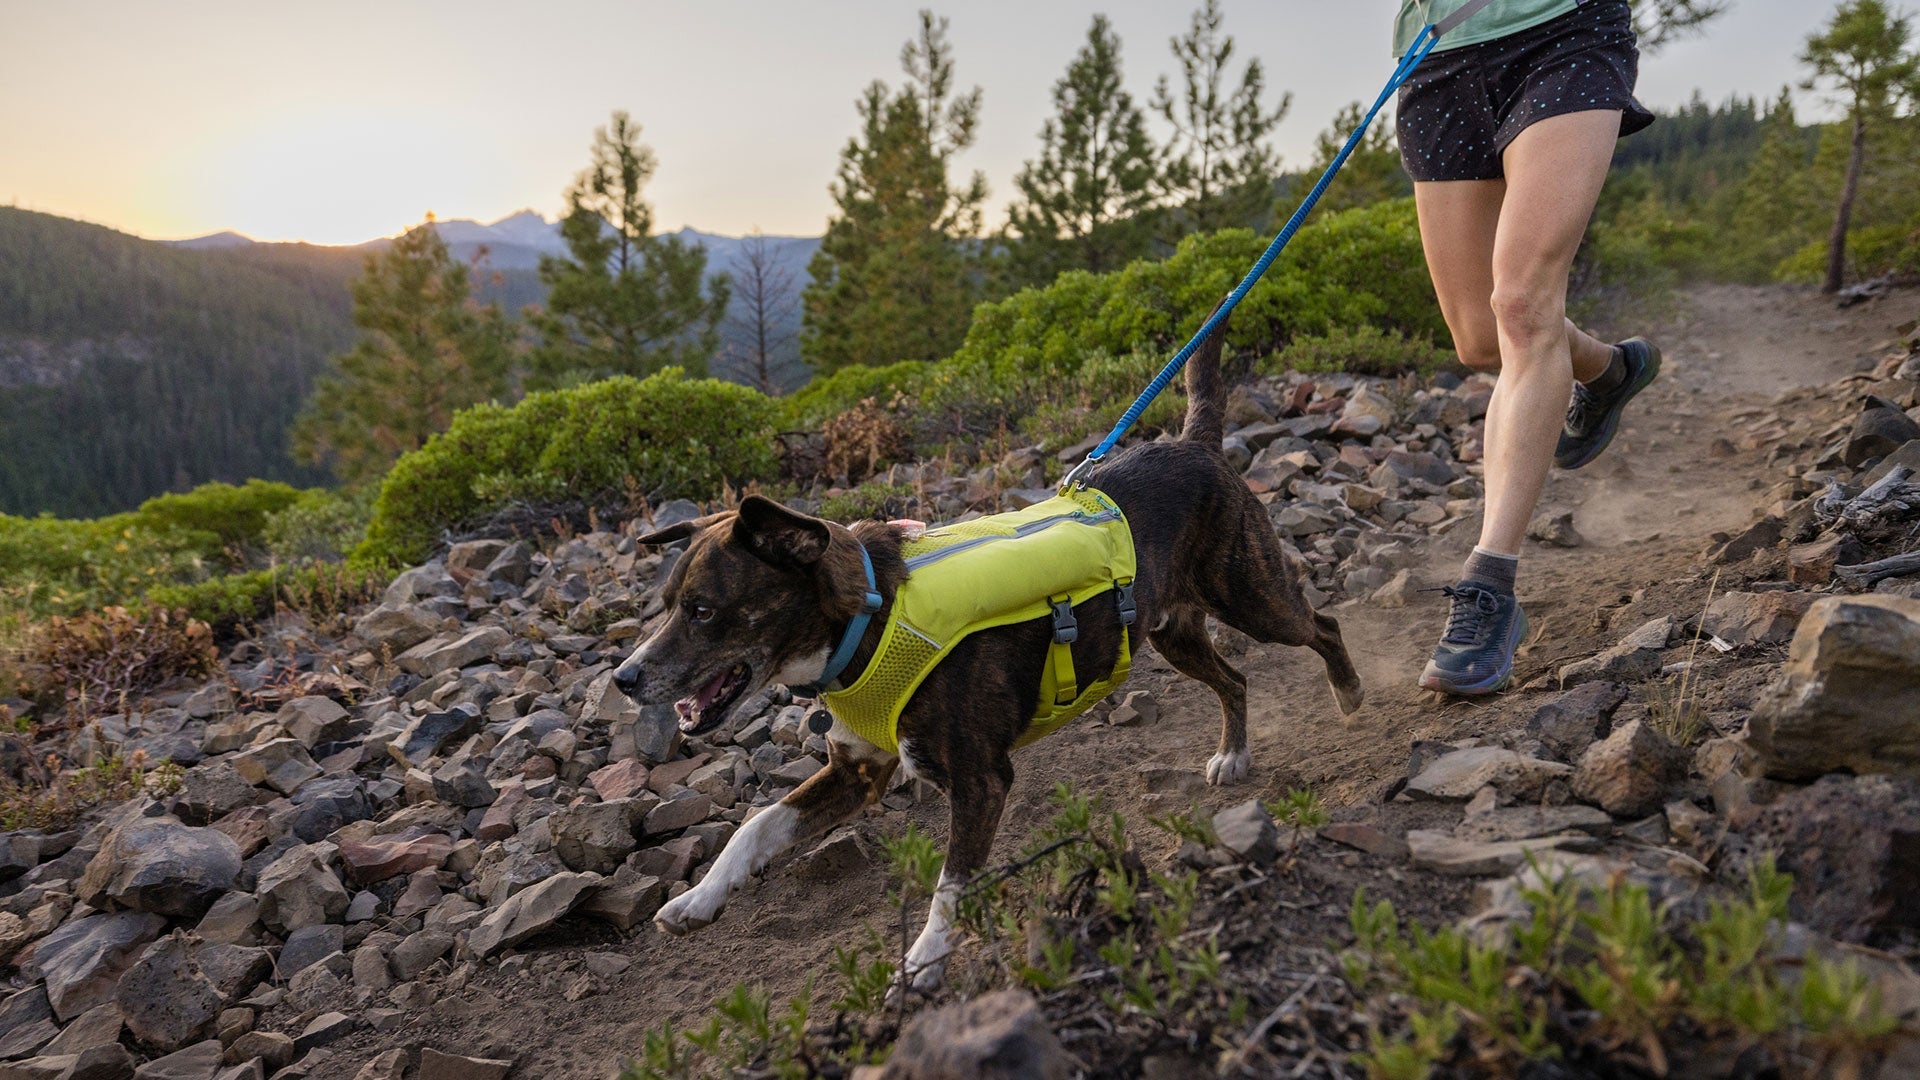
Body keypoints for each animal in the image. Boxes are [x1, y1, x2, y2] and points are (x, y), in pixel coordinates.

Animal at [606, 307, 1359, 991]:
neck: (870, 622)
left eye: (704, 611)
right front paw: (697, 899)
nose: (624, 678)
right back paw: (1234, 753)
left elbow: (948, 886)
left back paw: (1349, 692)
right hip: (1174, 631)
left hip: (1251, 596)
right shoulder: (857, 774)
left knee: (1321, 626)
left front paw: (922, 963)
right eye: (665, 603)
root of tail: (1193, 443)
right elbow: (755, 826)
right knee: (1234, 678)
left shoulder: (980, 782)